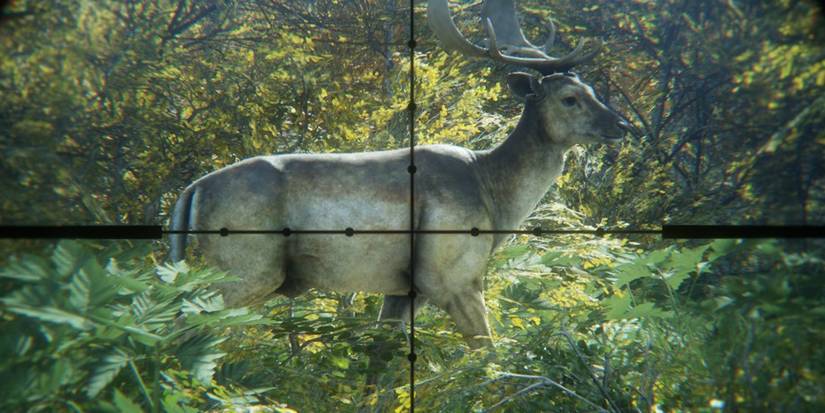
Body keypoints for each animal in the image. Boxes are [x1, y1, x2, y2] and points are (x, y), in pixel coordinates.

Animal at [169, 0, 628, 348]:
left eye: (592, 91)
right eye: (569, 98)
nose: (622, 125)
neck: (493, 196)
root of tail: (191, 192)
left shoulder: (403, 288)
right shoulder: (451, 275)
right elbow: (487, 354)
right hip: (245, 269)